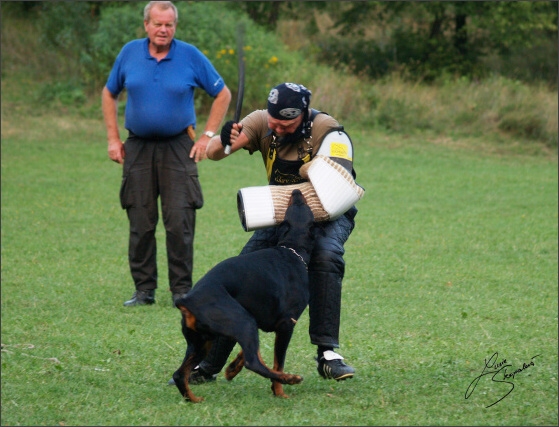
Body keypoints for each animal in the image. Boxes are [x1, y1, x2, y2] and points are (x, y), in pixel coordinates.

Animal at [173, 189, 316, 402]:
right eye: (302, 205)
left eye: (295, 204)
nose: (297, 191)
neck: (292, 250)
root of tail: (187, 300)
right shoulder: (286, 324)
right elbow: (277, 361)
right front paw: (279, 392)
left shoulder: (260, 320)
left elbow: (250, 351)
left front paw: (232, 369)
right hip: (242, 320)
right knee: (253, 362)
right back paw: (290, 378)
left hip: (203, 340)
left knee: (179, 374)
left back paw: (194, 399)